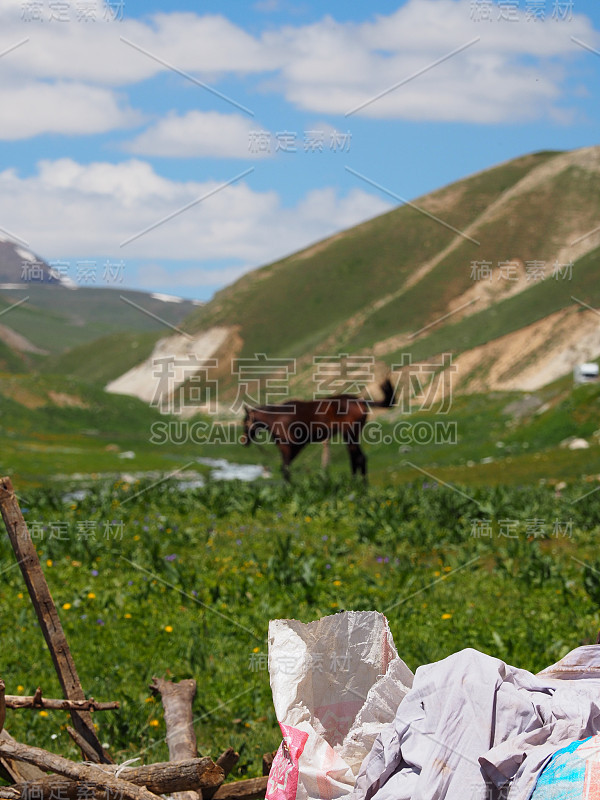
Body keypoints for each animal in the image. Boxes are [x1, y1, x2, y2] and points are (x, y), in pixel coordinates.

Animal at [241, 380, 396, 484]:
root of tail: (361, 401)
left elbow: (285, 469)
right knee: (356, 458)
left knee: (358, 458)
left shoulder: (287, 447)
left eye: (245, 422)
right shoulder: (291, 448)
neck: (277, 417)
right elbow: (286, 468)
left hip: (350, 434)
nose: (243, 440)